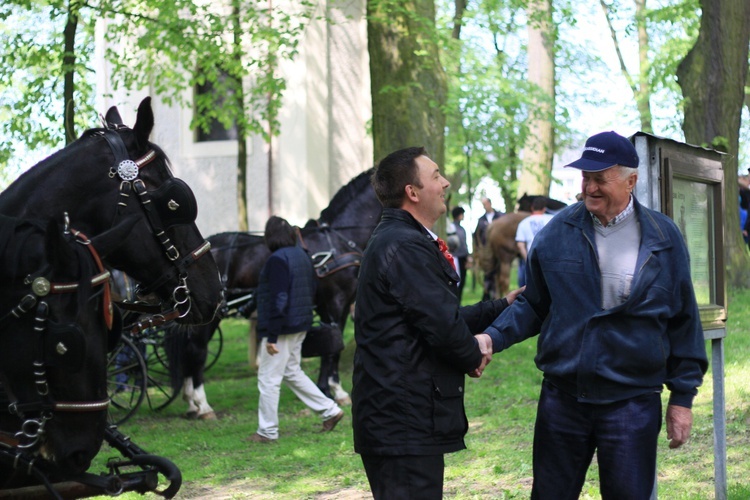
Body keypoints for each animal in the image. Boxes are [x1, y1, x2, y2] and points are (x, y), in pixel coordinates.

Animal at [162, 168, 378, 418]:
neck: (336, 242)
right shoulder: (336, 303)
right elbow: (333, 348)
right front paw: (334, 390)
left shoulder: (330, 307)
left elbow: (330, 347)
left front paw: (328, 389)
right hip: (211, 315)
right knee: (197, 351)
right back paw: (202, 404)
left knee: (188, 352)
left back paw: (190, 402)